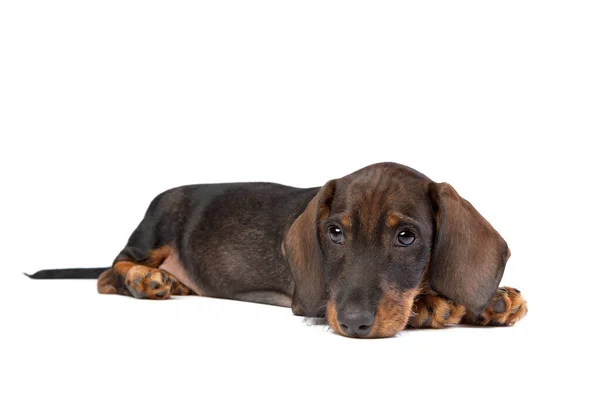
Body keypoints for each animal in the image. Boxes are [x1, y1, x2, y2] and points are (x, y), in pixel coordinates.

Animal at [27, 162, 524, 338]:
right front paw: (430, 304)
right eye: (334, 232)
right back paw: (145, 279)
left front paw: (492, 301)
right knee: (108, 272)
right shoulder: (317, 299)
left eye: (407, 237)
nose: (353, 324)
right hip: (156, 226)